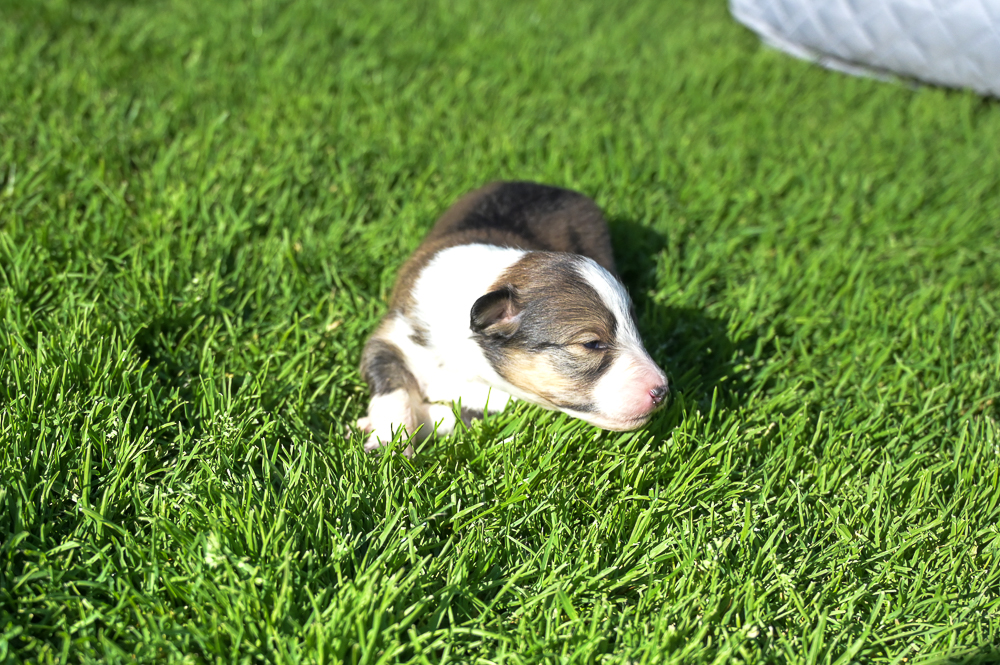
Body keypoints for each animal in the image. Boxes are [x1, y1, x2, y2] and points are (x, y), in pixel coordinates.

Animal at [356, 181, 669, 456]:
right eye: (591, 344)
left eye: (636, 331)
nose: (662, 391)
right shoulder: (394, 335)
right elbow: (392, 389)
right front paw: (387, 441)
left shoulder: (503, 401)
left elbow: (458, 413)